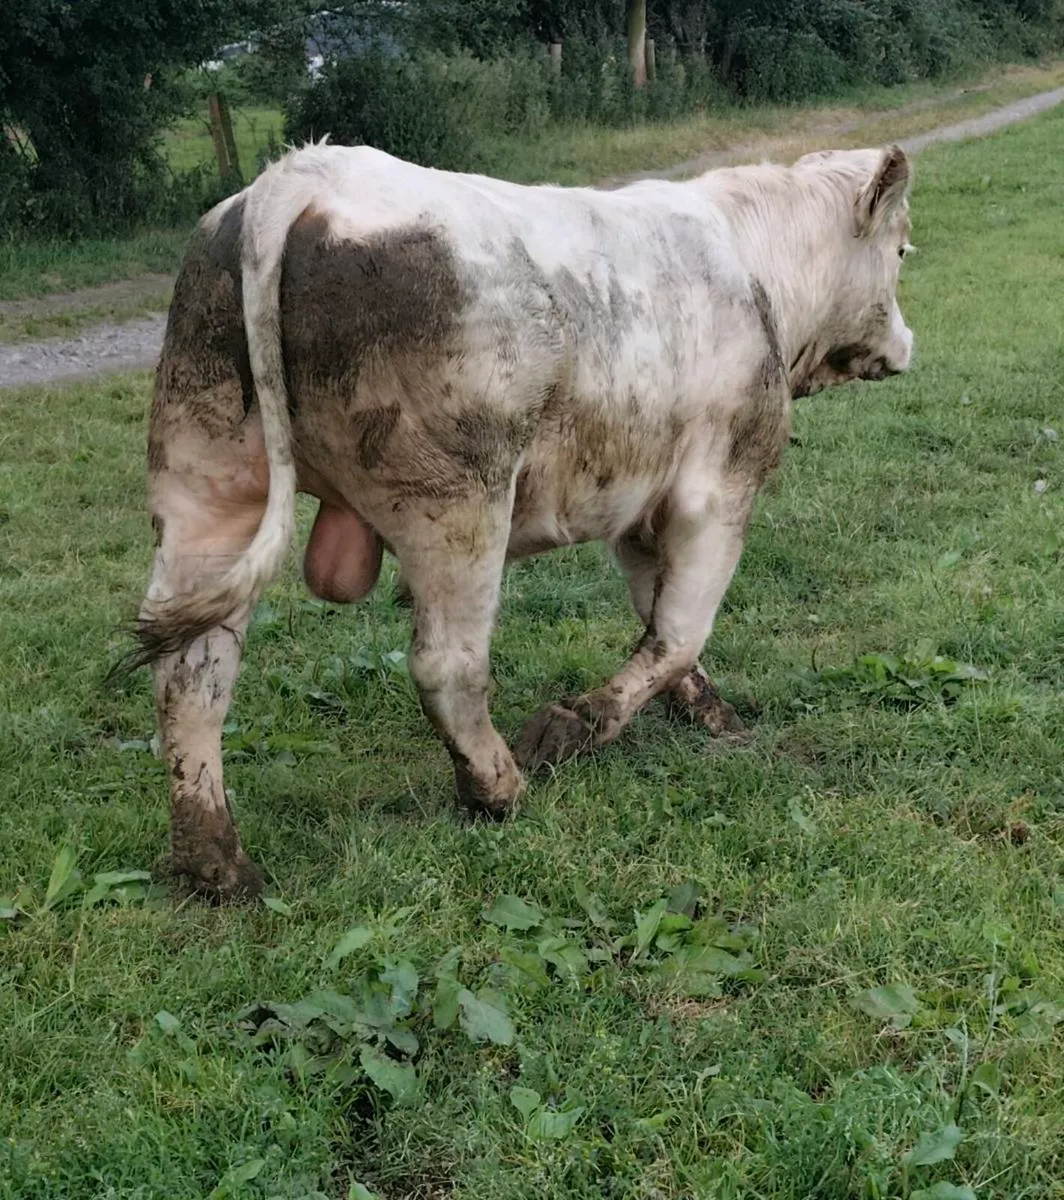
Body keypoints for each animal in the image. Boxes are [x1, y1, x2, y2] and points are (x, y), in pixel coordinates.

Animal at [121, 140, 914, 898]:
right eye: (904, 250)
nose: (908, 344)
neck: (757, 268)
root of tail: (302, 175)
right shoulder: (720, 484)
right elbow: (682, 629)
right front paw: (576, 725)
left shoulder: (639, 504)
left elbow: (657, 616)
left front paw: (705, 709)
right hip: (458, 498)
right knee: (447, 663)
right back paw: (497, 785)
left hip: (204, 483)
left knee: (189, 673)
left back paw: (217, 864)